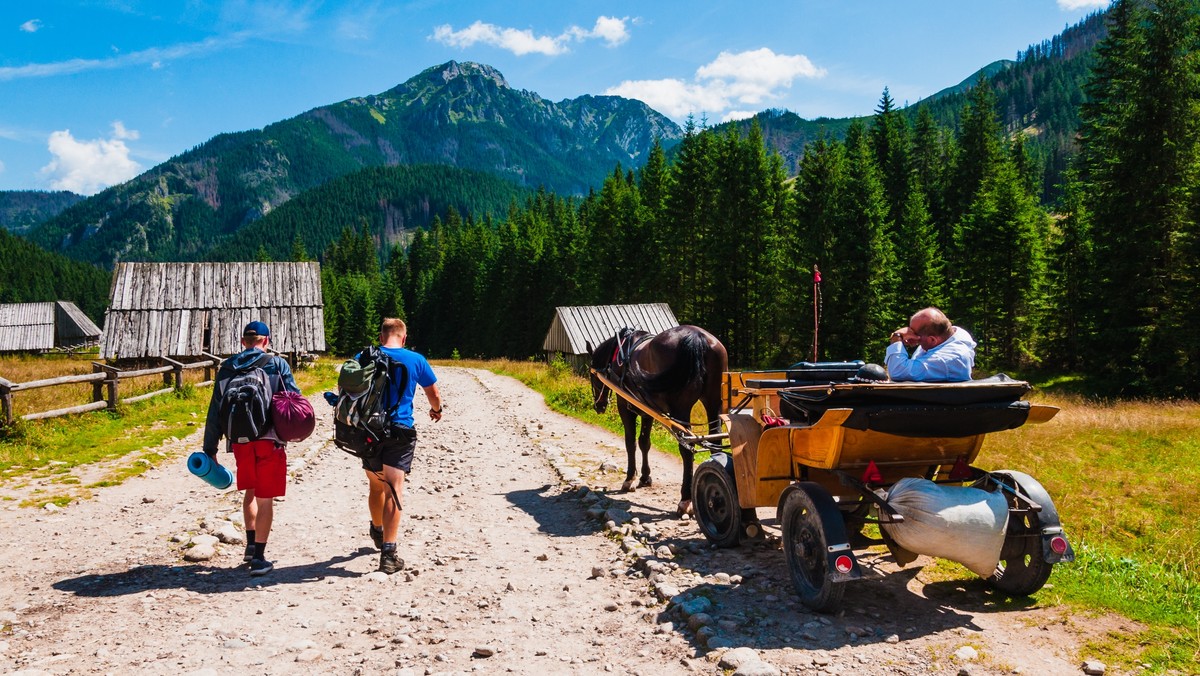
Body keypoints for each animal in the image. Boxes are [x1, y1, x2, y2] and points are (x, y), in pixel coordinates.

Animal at [585, 324, 724, 516]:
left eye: (592, 376)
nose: (599, 406)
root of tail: (697, 336)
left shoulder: (624, 406)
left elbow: (630, 442)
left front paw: (630, 479)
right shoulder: (648, 411)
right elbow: (645, 442)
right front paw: (645, 477)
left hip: (681, 409)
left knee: (687, 449)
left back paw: (685, 499)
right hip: (713, 402)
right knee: (715, 441)